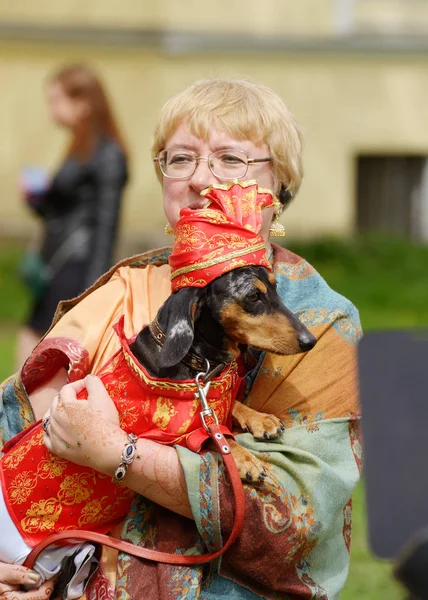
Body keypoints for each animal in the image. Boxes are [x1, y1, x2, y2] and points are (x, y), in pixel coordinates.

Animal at [129, 264, 316, 480]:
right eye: (253, 296)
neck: (194, 359)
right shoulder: (165, 436)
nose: (311, 341)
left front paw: (260, 419)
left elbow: (230, 403)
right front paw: (245, 459)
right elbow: (215, 437)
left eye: (275, 286)